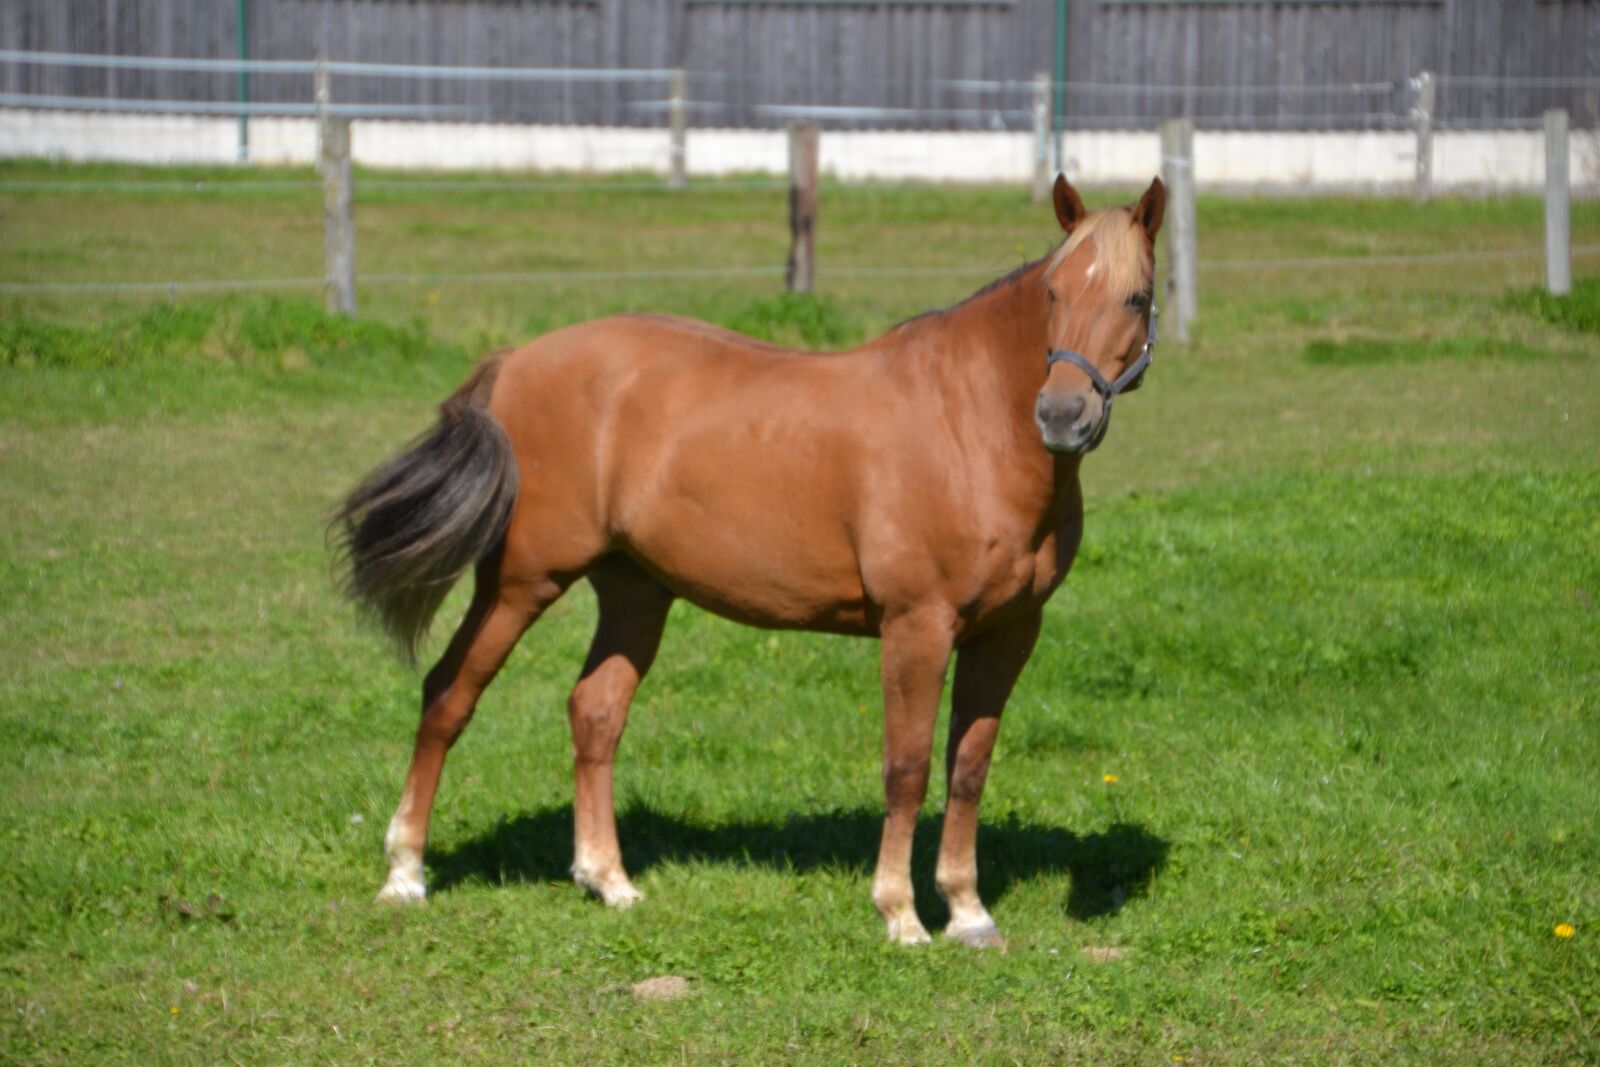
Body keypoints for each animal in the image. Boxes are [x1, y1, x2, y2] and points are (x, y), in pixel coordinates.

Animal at [332, 176, 1166, 948]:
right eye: (1054, 290)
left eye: (1137, 296)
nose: (1062, 416)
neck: (970, 422)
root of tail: (515, 362)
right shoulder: (917, 627)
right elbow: (906, 767)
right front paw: (900, 915)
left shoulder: (1008, 632)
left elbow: (969, 767)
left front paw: (967, 911)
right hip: (518, 584)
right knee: (448, 694)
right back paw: (405, 872)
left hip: (636, 592)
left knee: (595, 712)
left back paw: (609, 879)